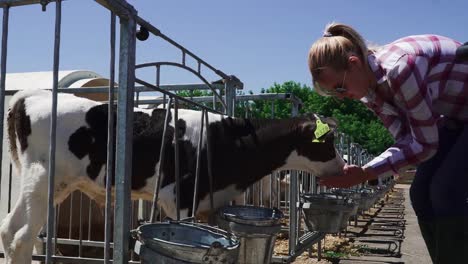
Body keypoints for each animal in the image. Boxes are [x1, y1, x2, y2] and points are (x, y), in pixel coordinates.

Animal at [0, 89, 344, 262]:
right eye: (327, 141)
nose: (343, 168)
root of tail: (31, 96)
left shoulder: (212, 202)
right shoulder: (179, 198)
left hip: (52, 184)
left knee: (8, 229)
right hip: (42, 179)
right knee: (22, 237)